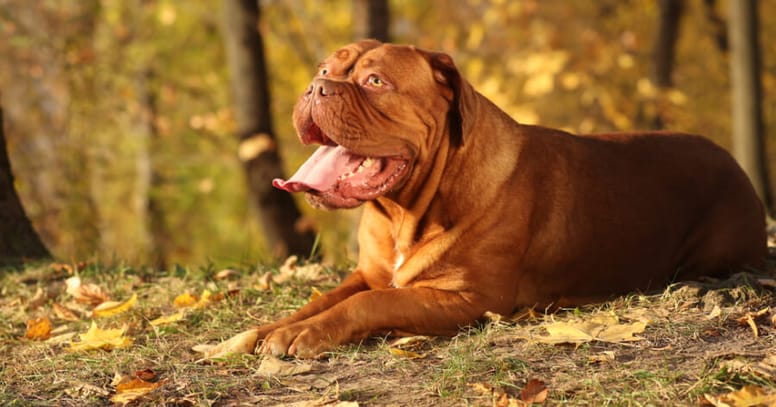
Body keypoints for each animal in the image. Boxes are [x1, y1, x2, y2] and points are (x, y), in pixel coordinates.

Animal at [205, 40, 764, 360]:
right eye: (326, 69)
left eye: (375, 81)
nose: (315, 87)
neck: (406, 210)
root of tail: (734, 162)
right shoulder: (368, 272)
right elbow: (320, 300)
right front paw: (253, 335)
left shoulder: (466, 298)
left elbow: (370, 303)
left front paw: (305, 335)